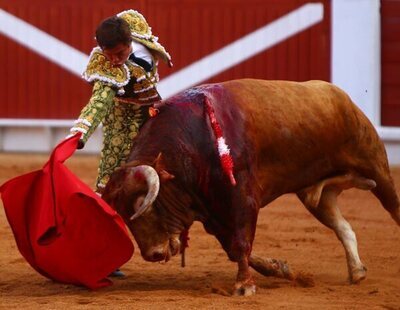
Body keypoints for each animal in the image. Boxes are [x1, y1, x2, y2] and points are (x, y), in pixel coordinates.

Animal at [103, 78, 400, 296]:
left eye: (144, 206)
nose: (152, 255)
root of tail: (339, 95)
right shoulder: (213, 214)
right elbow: (234, 249)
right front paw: (280, 268)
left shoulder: (243, 200)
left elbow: (242, 242)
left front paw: (244, 286)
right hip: (316, 196)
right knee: (343, 226)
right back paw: (357, 271)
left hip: (375, 165)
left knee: (393, 207)